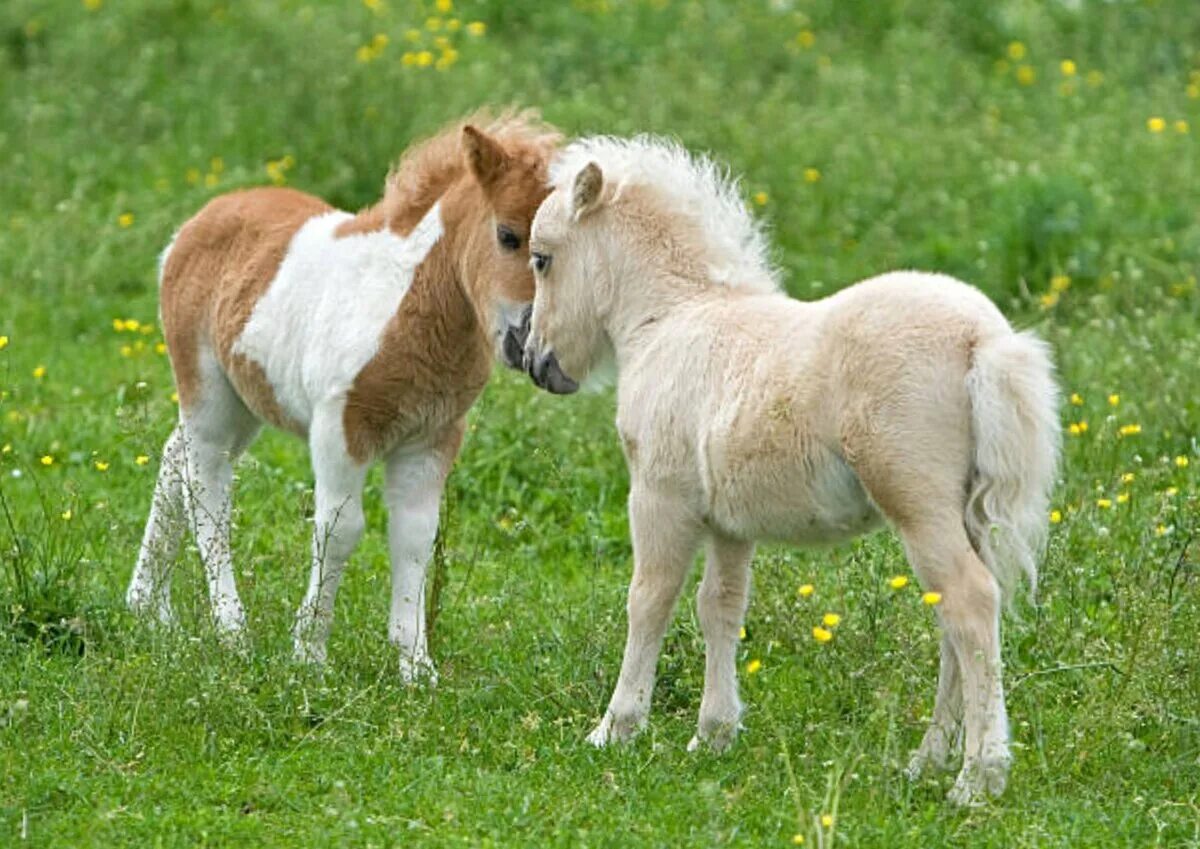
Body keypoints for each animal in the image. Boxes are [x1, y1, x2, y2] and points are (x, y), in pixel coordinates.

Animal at [129, 110, 559, 681]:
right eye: (508, 235)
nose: (528, 343)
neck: (409, 304)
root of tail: (192, 226)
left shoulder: (432, 437)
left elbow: (415, 537)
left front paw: (416, 667)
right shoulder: (340, 427)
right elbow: (341, 529)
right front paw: (309, 654)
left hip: (246, 401)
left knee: (173, 458)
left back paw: (148, 609)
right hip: (207, 390)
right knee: (206, 486)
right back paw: (231, 631)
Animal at [518, 136, 1060, 805]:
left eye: (542, 258)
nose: (536, 362)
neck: (672, 318)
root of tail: (983, 339)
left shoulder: (658, 496)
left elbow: (649, 599)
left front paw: (615, 728)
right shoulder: (728, 521)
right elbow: (720, 607)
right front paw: (713, 734)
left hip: (917, 502)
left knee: (970, 601)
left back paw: (976, 777)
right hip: (964, 513)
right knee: (954, 622)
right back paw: (926, 761)